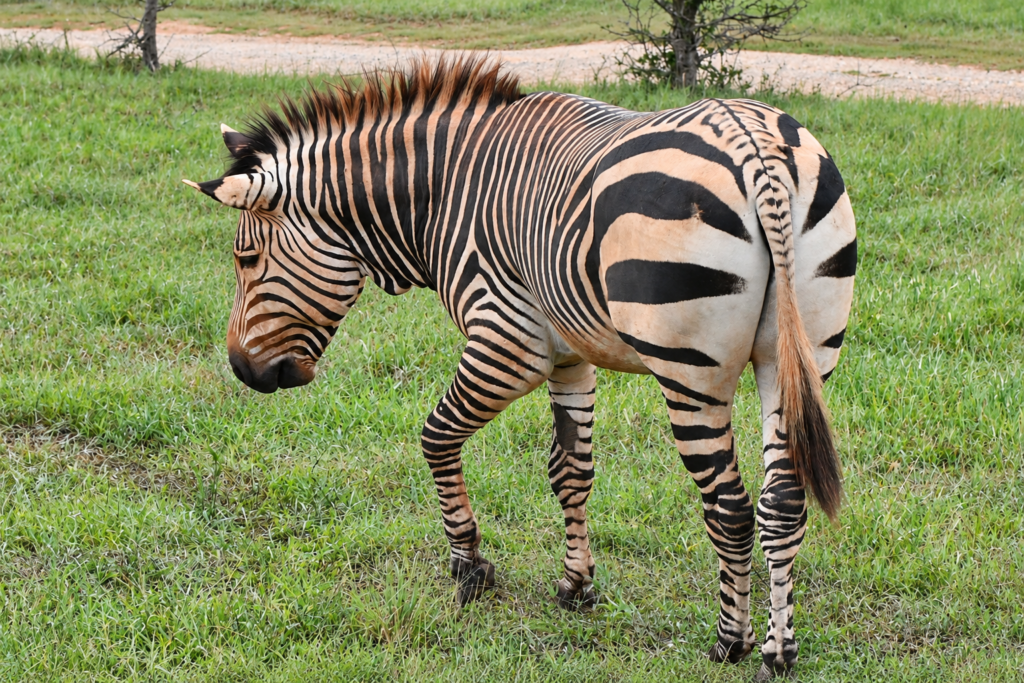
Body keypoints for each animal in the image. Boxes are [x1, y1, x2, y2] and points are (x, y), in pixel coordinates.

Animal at [184, 56, 855, 681]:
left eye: (245, 259)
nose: (242, 370)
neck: (445, 192)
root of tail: (755, 147)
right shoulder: (570, 353)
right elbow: (571, 471)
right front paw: (576, 585)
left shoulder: (509, 342)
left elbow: (436, 438)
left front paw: (469, 567)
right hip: (798, 359)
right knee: (782, 502)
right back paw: (778, 652)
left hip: (690, 372)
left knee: (731, 506)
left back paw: (730, 641)